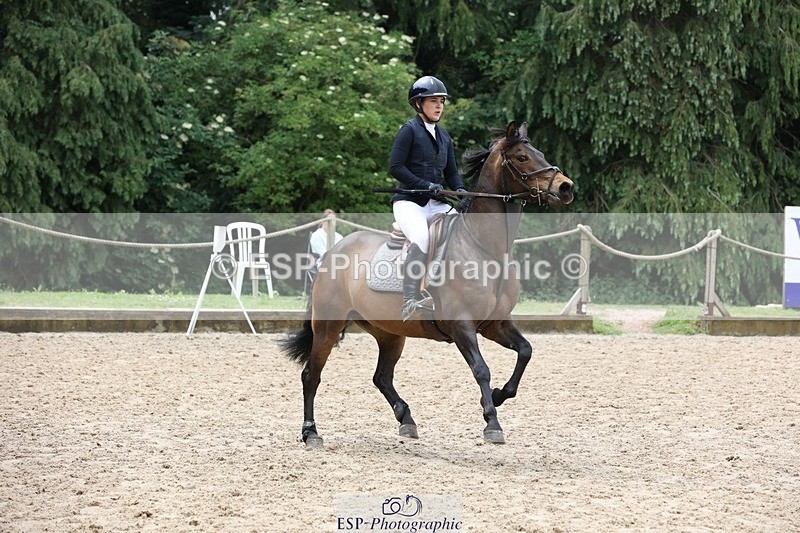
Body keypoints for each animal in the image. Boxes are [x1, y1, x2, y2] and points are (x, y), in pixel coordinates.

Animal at [280, 121, 574, 447]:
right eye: (522, 157)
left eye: (541, 153)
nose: (565, 187)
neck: (486, 248)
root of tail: (334, 250)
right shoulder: (461, 324)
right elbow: (481, 369)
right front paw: (492, 421)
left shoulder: (494, 323)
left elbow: (525, 351)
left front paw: (499, 396)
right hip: (328, 326)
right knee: (312, 375)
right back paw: (311, 432)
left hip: (389, 333)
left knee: (381, 376)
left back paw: (406, 419)